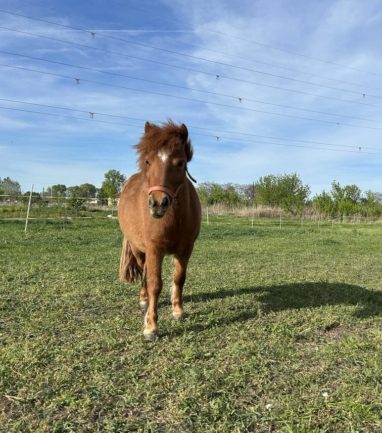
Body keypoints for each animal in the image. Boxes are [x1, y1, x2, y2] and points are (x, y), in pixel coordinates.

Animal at [118, 120, 201, 340]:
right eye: (148, 161)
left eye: (180, 162)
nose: (157, 204)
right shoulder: (155, 249)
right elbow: (155, 284)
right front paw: (151, 326)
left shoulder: (186, 249)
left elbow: (179, 278)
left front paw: (178, 310)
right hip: (139, 249)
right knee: (144, 273)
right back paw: (143, 300)